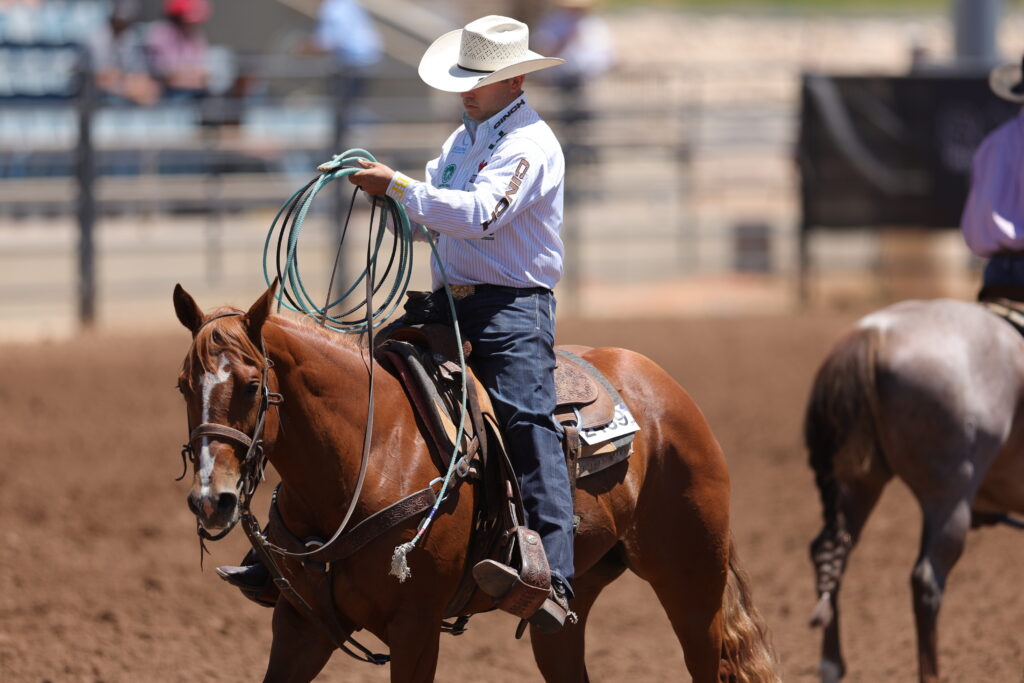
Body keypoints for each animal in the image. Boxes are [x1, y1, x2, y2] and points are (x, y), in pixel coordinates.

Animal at [173, 282, 778, 682]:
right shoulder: (301, 624)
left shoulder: (415, 629)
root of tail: (666, 388)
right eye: (183, 384)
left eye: (253, 385)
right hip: (568, 611)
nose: (210, 499)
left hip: (691, 581)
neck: (366, 455)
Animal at [805, 297, 1024, 683]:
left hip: (857, 484)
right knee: (926, 582)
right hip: (949, 499)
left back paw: (831, 664)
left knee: (830, 551)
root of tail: (872, 332)